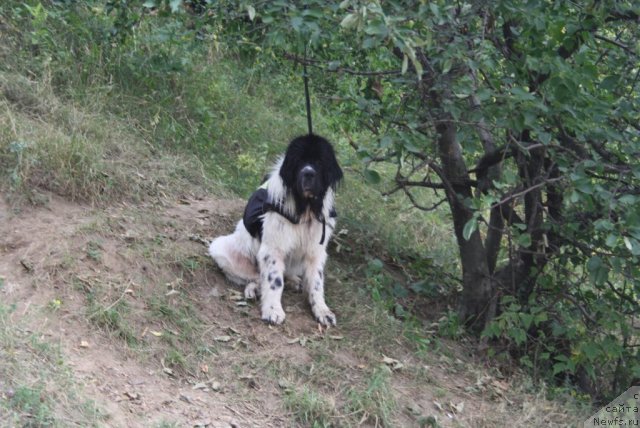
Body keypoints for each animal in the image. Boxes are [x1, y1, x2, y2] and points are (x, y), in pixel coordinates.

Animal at [210, 135, 342, 326]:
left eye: (319, 162)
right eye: (299, 161)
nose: (308, 173)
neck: (305, 209)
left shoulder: (316, 251)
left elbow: (317, 283)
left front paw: (323, 310)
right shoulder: (273, 249)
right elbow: (274, 281)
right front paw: (272, 310)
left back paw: (294, 281)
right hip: (221, 248)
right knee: (257, 277)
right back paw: (255, 289)